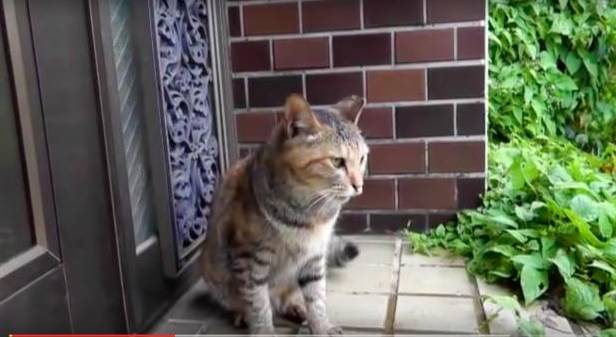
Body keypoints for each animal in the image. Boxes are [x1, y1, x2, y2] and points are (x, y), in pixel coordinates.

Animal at [200, 93, 368, 334]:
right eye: (337, 162)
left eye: (362, 158)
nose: (359, 185)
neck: (309, 213)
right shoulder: (249, 260)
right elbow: (258, 304)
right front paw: (263, 330)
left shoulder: (315, 254)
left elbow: (316, 297)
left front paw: (321, 326)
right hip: (216, 276)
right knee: (239, 302)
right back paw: (242, 314)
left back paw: (297, 307)